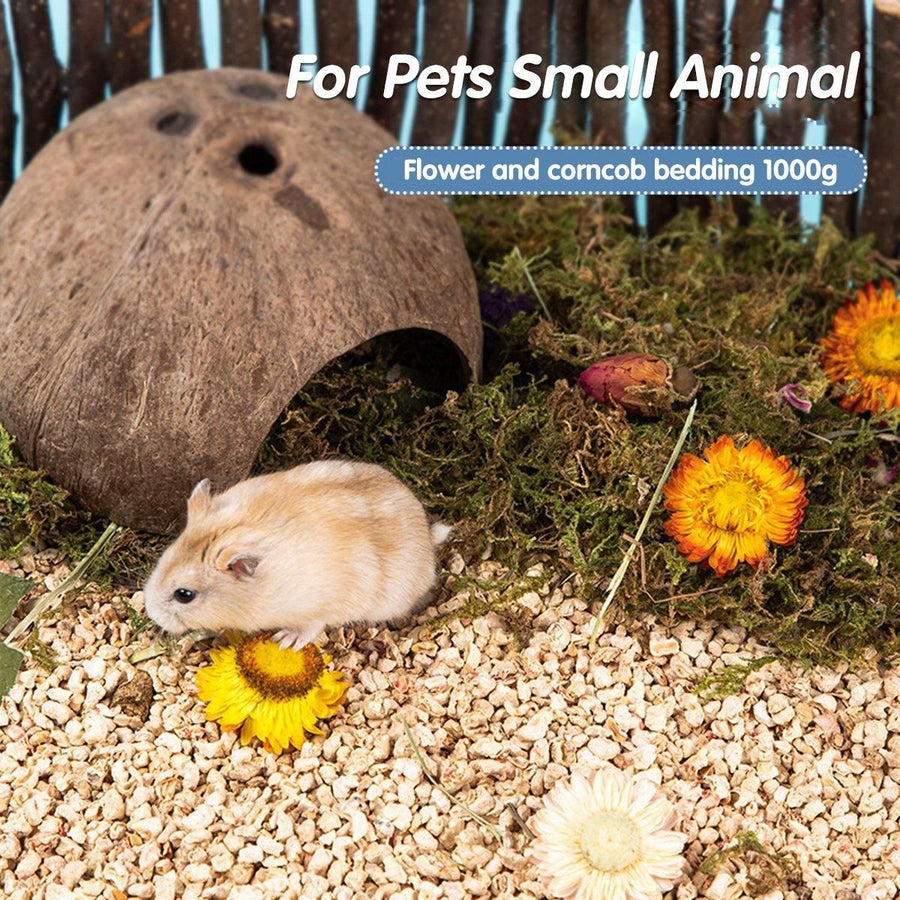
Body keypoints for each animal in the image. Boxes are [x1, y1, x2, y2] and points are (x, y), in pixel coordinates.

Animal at [142, 460, 450, 650]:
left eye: (185, 595)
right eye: (161, 560)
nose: (152, 614)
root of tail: (427, 535)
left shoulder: (318, 607)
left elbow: (309, 627)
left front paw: (284, 640)